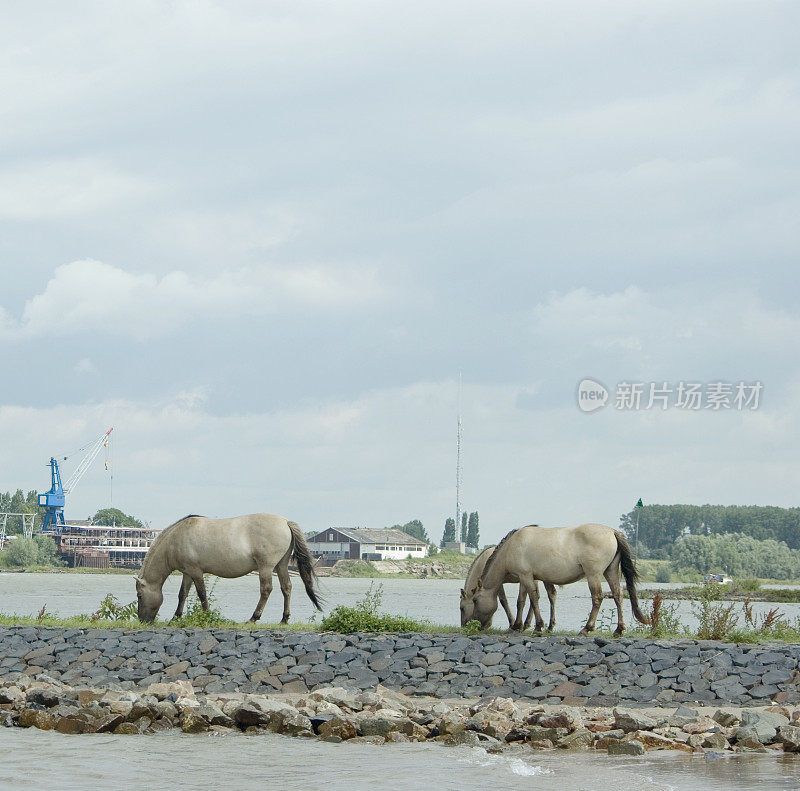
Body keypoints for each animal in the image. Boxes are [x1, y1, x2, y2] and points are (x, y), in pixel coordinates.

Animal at [137, 512, 322, 624]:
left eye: (139, 595)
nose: (142, 620)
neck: (176, 538)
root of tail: (285, 522)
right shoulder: (187, 573)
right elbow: (182, 594)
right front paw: (176, 617)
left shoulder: (196, 571)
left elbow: (202, 594)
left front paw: (207, 615)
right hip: (281, 565)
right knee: (286, 588)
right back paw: (284, 619)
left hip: (266, 566)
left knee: (266, 589)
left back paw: (253, 618)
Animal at [476, 524, 648, 636]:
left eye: (475, 600)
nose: (478, 626)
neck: (512, 546)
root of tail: (612, 532)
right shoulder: (524, 577)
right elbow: (522, 601)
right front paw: (518, 626)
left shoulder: (526, 576)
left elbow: (533, 598)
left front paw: (538, 627)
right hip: (610, 572)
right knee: (618, 596)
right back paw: (619, 630)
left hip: (594, 574)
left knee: (598, 598)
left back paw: (587, 628)